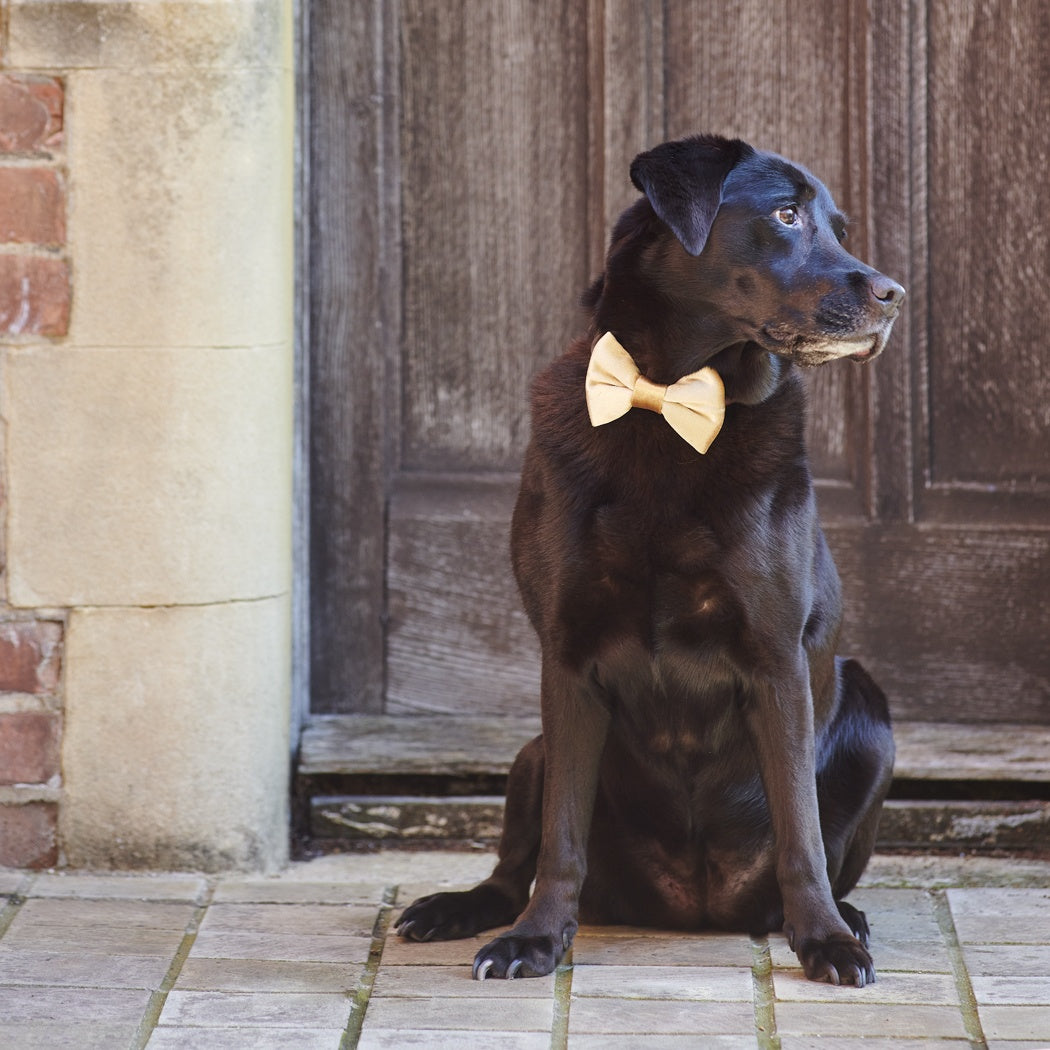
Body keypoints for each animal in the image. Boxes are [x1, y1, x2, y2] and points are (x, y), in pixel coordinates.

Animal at [396, 133, 907, 982]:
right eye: (787, 215)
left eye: (839, 227)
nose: (895, 294)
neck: (669, 399)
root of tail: (690, 909)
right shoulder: (566, 660)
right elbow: (560, 840)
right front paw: (538, 938)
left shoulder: (776, 660)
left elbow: (799, 831)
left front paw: (825, 939)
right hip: (532, 749)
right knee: (511, 866)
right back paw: (457, 910)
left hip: (869, 715)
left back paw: (842, 918)